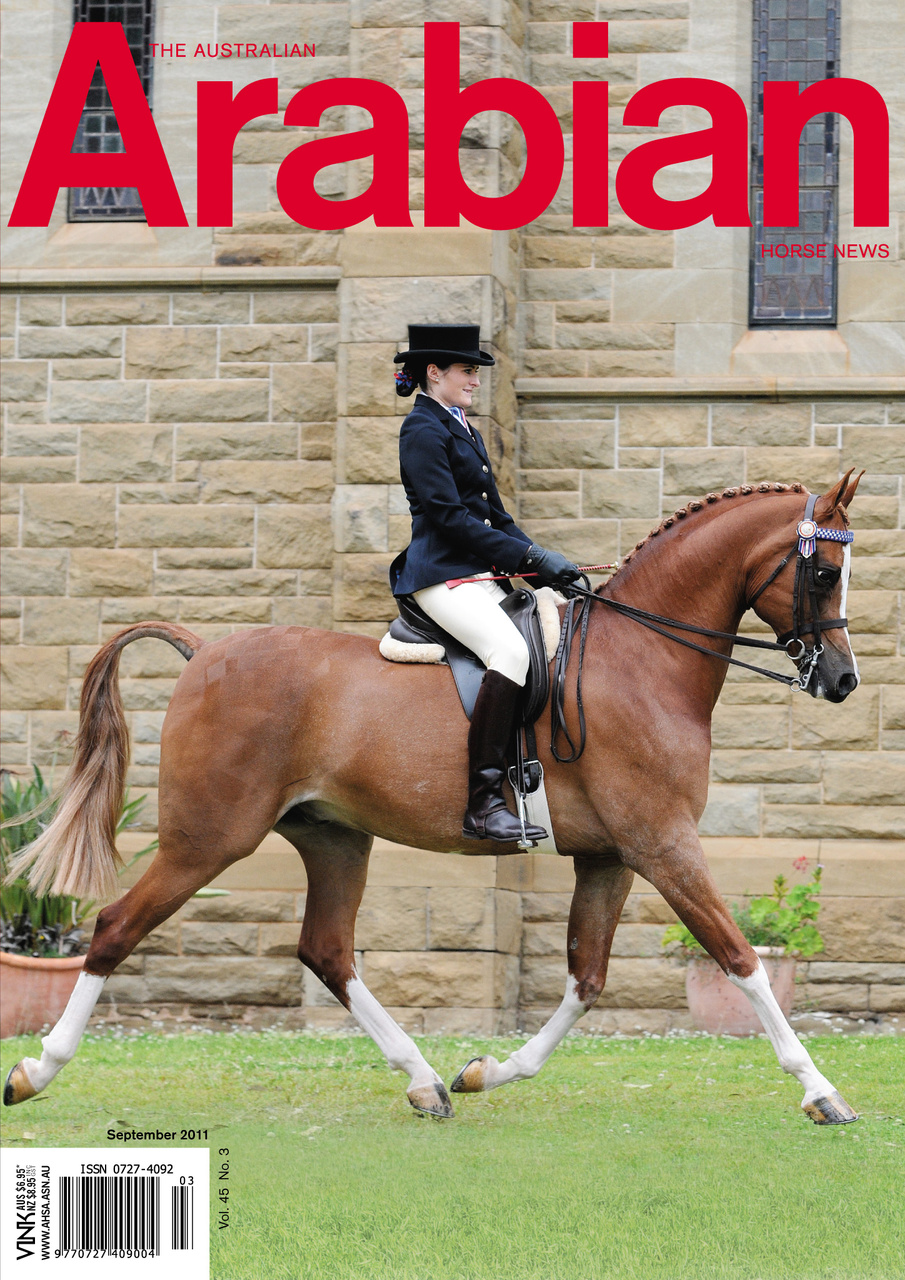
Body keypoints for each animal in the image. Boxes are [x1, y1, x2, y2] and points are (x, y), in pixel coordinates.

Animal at [4, 471, 863, 1125]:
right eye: (822, 573)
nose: (841, 680)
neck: (642, 657)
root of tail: (205, 649)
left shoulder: (611, 855)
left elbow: (585, 979)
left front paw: (487, 1070)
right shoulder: (663, 843)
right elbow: (739, 958)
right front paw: (820, 1090)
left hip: (332, 837)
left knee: (327, 950)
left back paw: (422, 1080)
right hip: (208, 838)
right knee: (116, 928)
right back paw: (36, 1071)